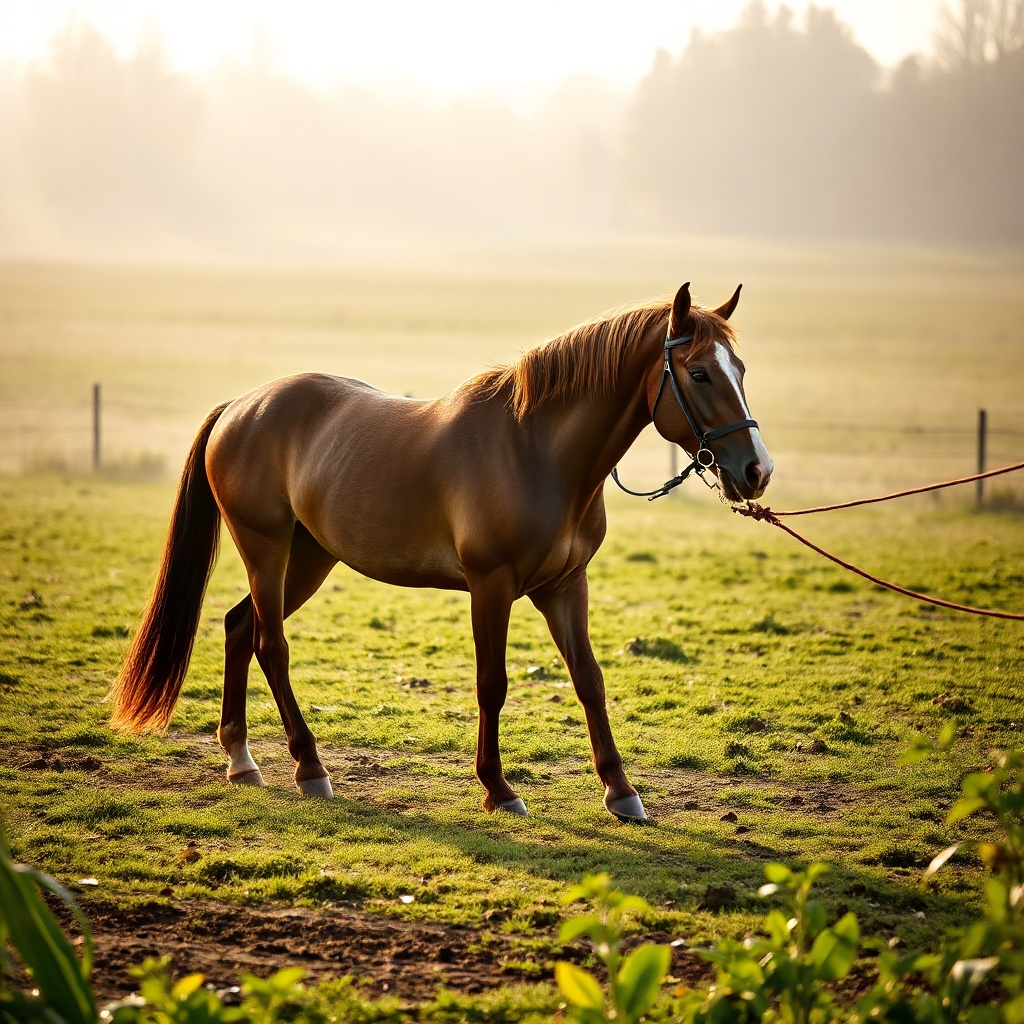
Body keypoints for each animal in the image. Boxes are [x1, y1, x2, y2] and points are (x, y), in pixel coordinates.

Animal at [110, 282, 772, 821]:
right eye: (700, 374)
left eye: (741, 368)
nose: (756, 470)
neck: (535, 451)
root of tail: (241, 406)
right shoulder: (491, 585)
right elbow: (492, 683)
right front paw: (498, 789)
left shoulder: (565, 585)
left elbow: (588, 679)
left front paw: (622, 791)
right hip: (266, 548)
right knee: (271, 645)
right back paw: (309, 769)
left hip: (310, 557)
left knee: (239, 627)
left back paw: (242, 759)